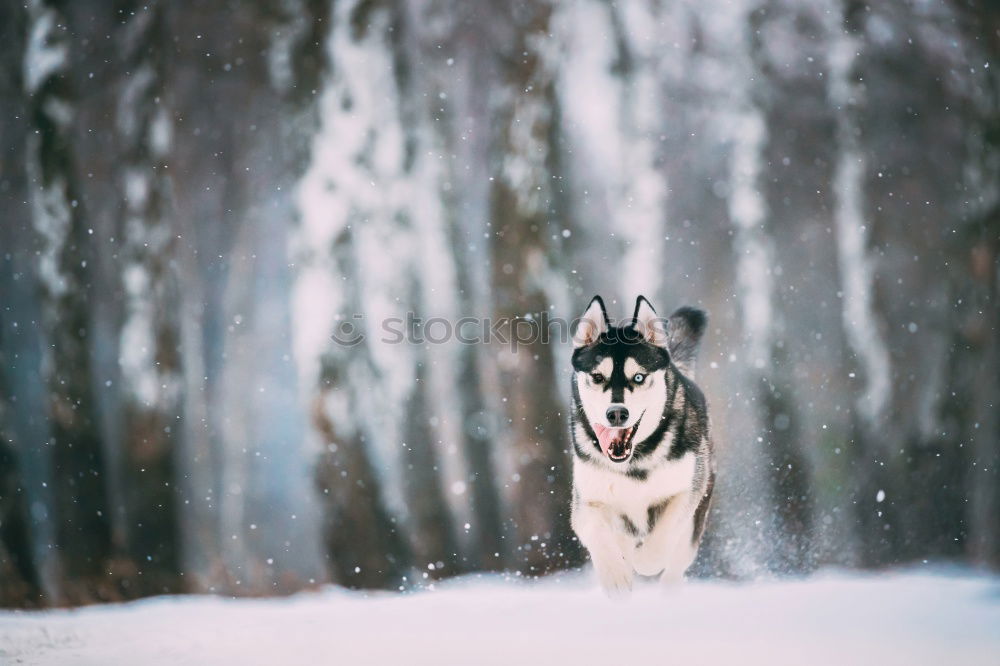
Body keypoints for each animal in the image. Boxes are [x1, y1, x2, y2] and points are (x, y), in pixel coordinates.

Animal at [572, 294, 712, 592]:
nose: (616, 413)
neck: (634, 464)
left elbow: (661, 540)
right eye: (597, 377)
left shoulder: (687, 489)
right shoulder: (586, 502)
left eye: (638, 377)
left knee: (676, 562)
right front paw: (615, 575)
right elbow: (597, 532)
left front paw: (643, 560)